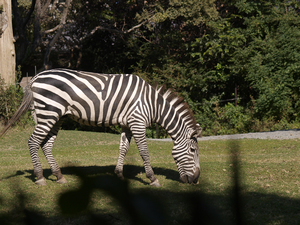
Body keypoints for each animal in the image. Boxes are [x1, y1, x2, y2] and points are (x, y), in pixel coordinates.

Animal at [0, 68, 202, 186]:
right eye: (193, 150)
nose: (196, 180)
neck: (152, 104)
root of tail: (35, 77)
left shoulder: (127, 124)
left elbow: (123, 148)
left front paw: (119, 174)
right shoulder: (137, 122)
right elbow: (144, 151)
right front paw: (152, 178)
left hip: (56, 116)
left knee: (46, 145)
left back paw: (59, 176)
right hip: (48, 113)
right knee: (33, 142)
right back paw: (40, 177)